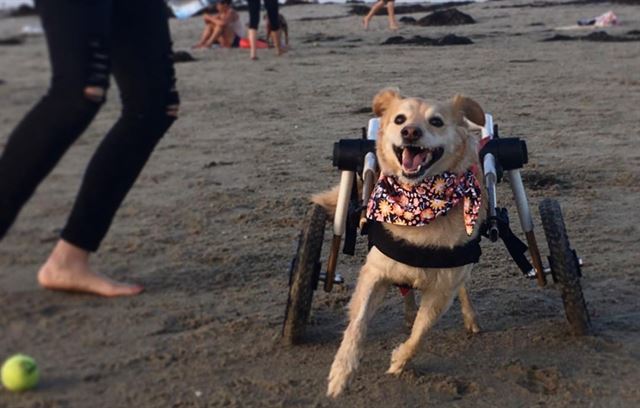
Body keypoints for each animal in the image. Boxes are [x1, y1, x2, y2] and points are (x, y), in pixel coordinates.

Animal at [314, 87, 484, 396]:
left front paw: (399, 361)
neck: (420, 201)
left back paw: (470, 318)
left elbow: (420, 332)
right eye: (399, 119)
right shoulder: (374, 273)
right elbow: (358, 322)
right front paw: (342, 372)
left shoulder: (442, 290)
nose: (410, 132)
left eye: (437, 122)